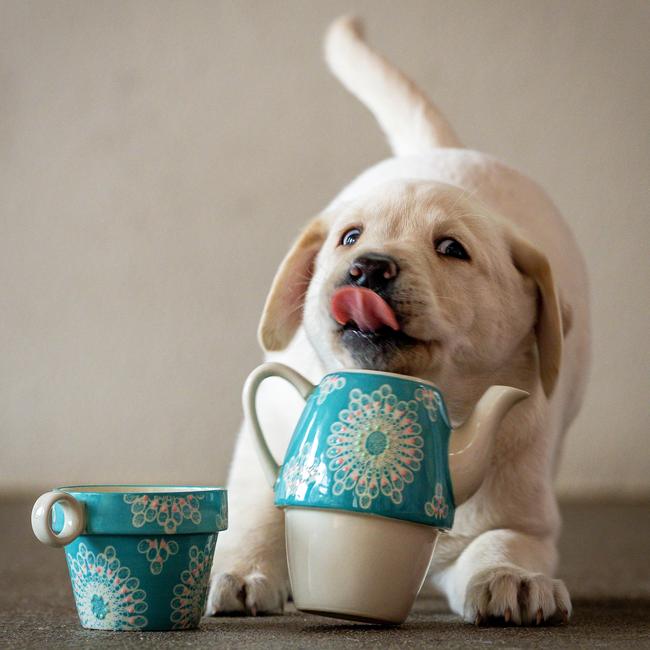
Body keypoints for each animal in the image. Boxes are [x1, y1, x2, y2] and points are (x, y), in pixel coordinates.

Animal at [206, 16, 588, 624]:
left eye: (452, 248)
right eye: (350, 237)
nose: (368, 267)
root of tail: (444, 148)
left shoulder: (526, 517)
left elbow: (502, 540)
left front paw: (511, 578)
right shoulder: (269, 434)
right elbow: (260, 513)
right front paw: (242, 568)